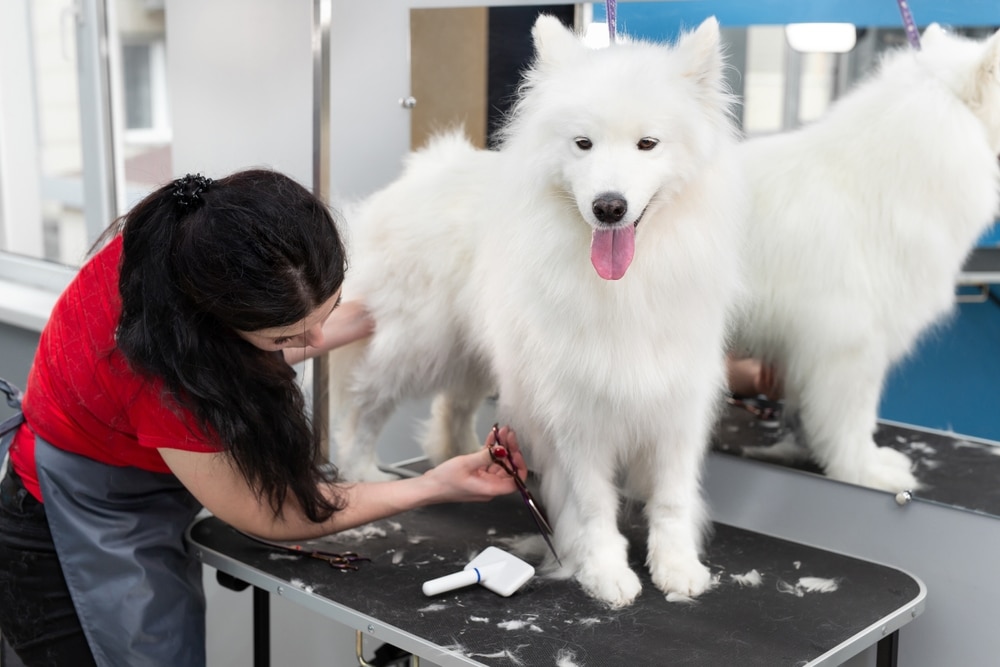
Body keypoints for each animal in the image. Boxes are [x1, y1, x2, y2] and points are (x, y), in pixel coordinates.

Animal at [332, 14, 748, 612]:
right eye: (583, 143)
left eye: (648, 143)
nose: (609, 206)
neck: (625, 285)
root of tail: (426, 169)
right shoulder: (576, 409)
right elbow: (594, 505)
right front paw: (605, 573)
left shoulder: (676, 403)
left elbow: (671, 499)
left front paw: (677, 568)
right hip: (418, 344)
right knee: (365, 403)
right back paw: (364, 468)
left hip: (479, 352)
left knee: (451, 406)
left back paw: (464, 456)